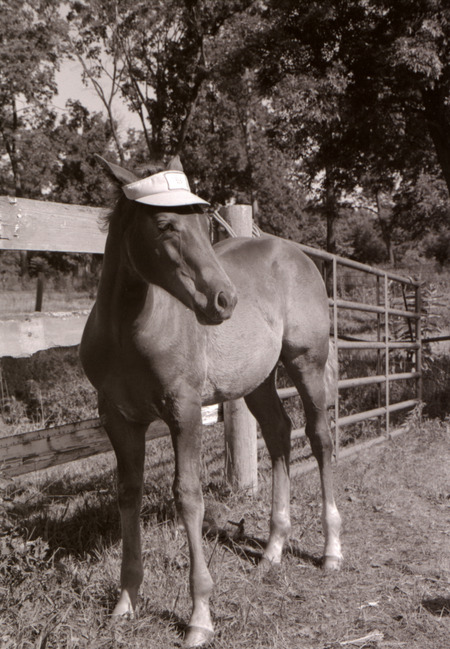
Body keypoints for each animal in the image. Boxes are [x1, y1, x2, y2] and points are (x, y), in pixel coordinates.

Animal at [80, 155, 342, 647]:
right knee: (279, 435)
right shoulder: (119, 420)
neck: (128, 331)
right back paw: (274, 548)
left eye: (204, 223)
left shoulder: (183, 412)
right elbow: (128, 493)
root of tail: (297, 255)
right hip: (257, 382)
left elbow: (188, 496)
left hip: (308, 364)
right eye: (165, 224)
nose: (224, 300)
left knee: (319, 438)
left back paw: (332, 550)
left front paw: (200, 615)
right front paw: (126, 602)